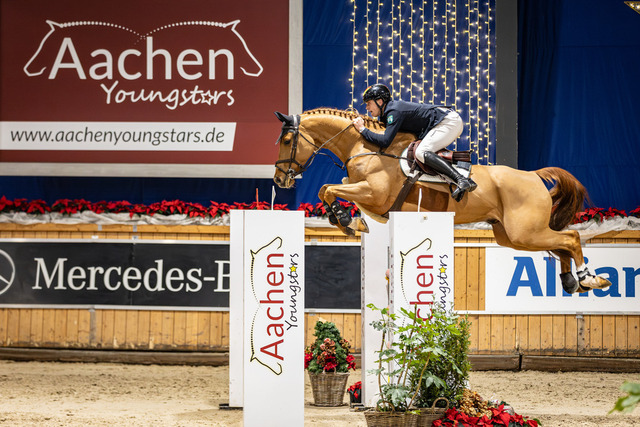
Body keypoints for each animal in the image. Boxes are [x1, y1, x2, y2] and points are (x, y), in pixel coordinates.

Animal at [272, 108, 612, 295]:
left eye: (287, 140)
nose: (279, 181)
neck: (364, 145)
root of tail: (533, 176)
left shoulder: (373, 193)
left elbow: (327, 189)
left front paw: (345, 222)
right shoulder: (362, 190)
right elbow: (329, 189)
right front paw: (346, 220)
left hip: (524, 232)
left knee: (571, 237)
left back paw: (590, 280)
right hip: (513, 236)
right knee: (562, 244)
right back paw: (572, 282)